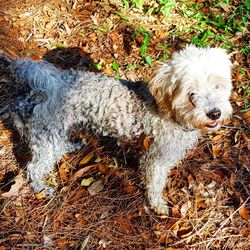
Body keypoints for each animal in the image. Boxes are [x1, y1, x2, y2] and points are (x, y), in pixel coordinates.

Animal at [0, 45, 232, 215]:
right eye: (191, 92)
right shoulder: (156, 159)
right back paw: (40, 187)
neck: (168, 110)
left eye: (218, 85)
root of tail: (44, 87)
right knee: (34, 167)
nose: (215, 113)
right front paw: (157, 205)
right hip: (48, 137)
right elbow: (155, 183)